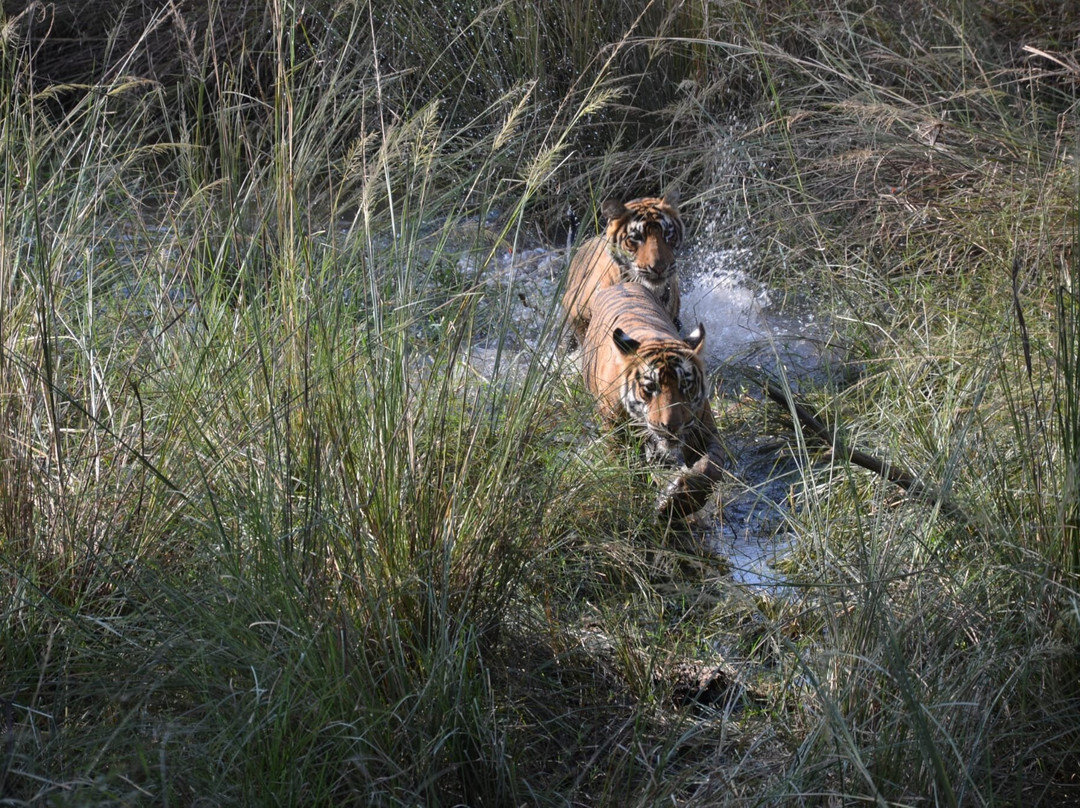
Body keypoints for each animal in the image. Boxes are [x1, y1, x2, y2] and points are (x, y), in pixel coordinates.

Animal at [583, 280, 725, 514]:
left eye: (685, 385)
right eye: (650, 387)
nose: (672, 426)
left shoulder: (704, 429)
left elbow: (710, 467)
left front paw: (678, 502)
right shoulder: (616, 435)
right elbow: (631, 473)